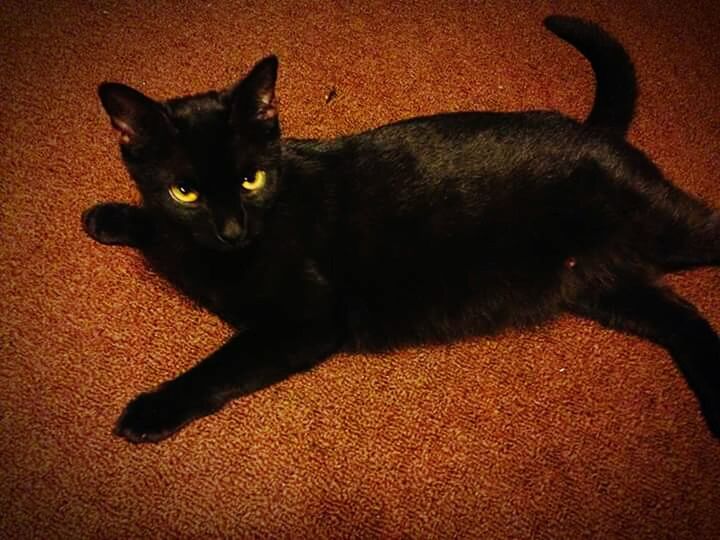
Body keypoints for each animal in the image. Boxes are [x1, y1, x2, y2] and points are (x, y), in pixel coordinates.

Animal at [83, 16, 720, 442]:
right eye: (185, 190)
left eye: (251, 178)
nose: (232, 228)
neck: (219, 258)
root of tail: (592, 132)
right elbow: (156, 228)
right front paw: (110, 217)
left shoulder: (306, 321)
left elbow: (221, 367)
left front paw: (152, 409)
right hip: (603, 285)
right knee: (687, 322)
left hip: (661, 230)